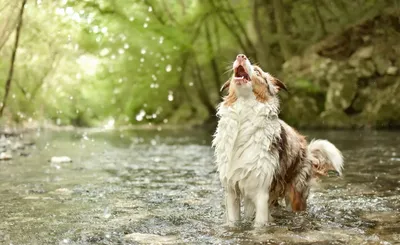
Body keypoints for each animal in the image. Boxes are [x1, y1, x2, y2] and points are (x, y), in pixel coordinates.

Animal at [212, 54, 344, 228]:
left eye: (258, 72)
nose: (240, 56)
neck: (243, 114)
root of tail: (307, 149)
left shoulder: (262, 191)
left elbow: (259, 225)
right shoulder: (232, 190)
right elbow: (234, 222)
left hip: (295, 193)